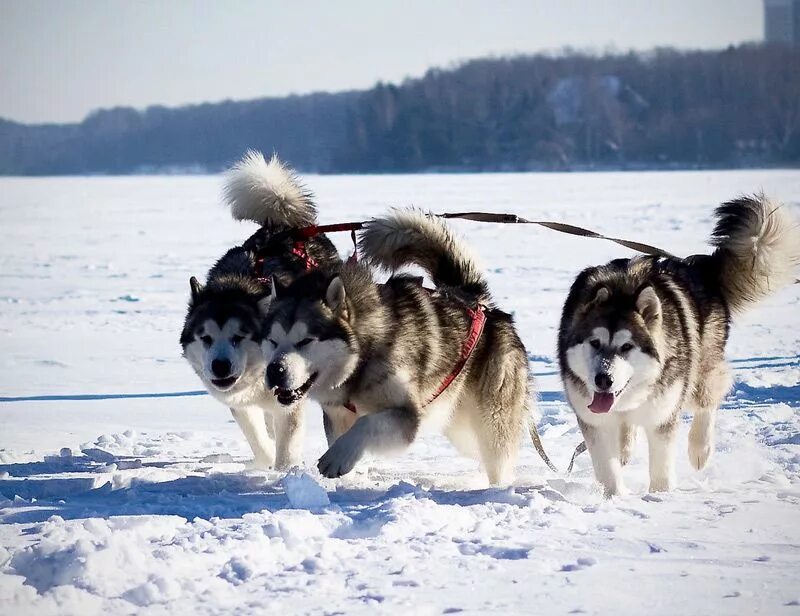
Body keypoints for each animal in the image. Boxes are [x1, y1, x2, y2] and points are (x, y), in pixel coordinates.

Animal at [180, 152, 340, 470]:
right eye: (205, 338)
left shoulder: (290, 398)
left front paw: (284, 473)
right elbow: (257, 436)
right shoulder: (240, 403)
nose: (220, 366)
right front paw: (264, 462)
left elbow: (286, 443)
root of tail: (284, 226)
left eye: (239, 336)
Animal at [260, 212, 536, 486]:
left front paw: (338, 458)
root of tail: (478, 303)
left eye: (305, 341)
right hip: (462, 430)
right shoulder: (337, 415)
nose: (275, 370)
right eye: (272, 341)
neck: (361, 361)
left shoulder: (407, 416)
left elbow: (366, 424)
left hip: (490, 422)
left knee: (499, 458)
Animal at [556, 195, 800, 498]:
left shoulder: (663, 413)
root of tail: (697, 268)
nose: (603, 379)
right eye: (594, 342)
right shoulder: (594, 420)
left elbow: (661, 465)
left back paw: (700, 449)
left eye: (627, 346)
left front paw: (660, 498)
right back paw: (626, 447)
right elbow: (607, 467)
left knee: (709, 398)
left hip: (700, 369)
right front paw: (615, 497)